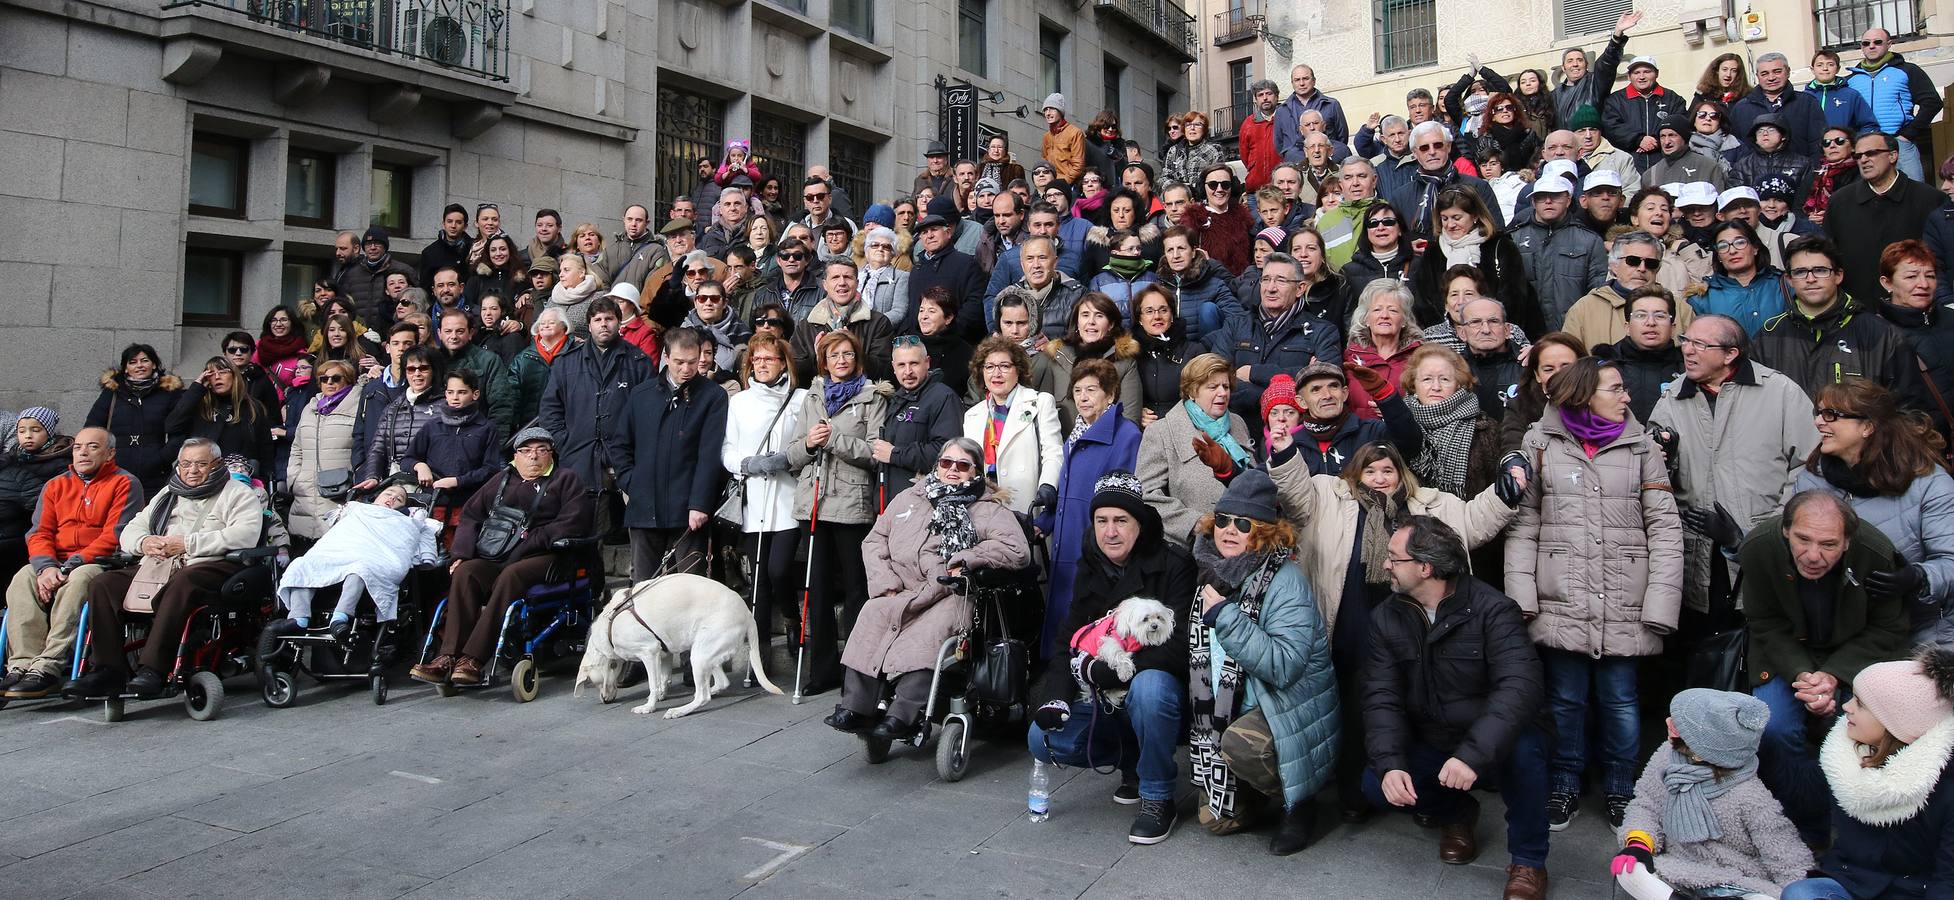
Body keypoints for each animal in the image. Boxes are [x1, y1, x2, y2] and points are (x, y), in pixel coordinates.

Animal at [570, 573, 781, 714]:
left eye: (594, 683)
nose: (605, 701)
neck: (610, 623)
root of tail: (747, 612)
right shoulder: (663, 653)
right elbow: (663, 679)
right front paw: (660, 695)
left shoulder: (649, 652)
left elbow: (653, 683)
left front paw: (649, 706)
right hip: (704, 652)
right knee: (720, 683)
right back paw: (706, 692)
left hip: (700, 655)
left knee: (703, 696)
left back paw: (679, 711)